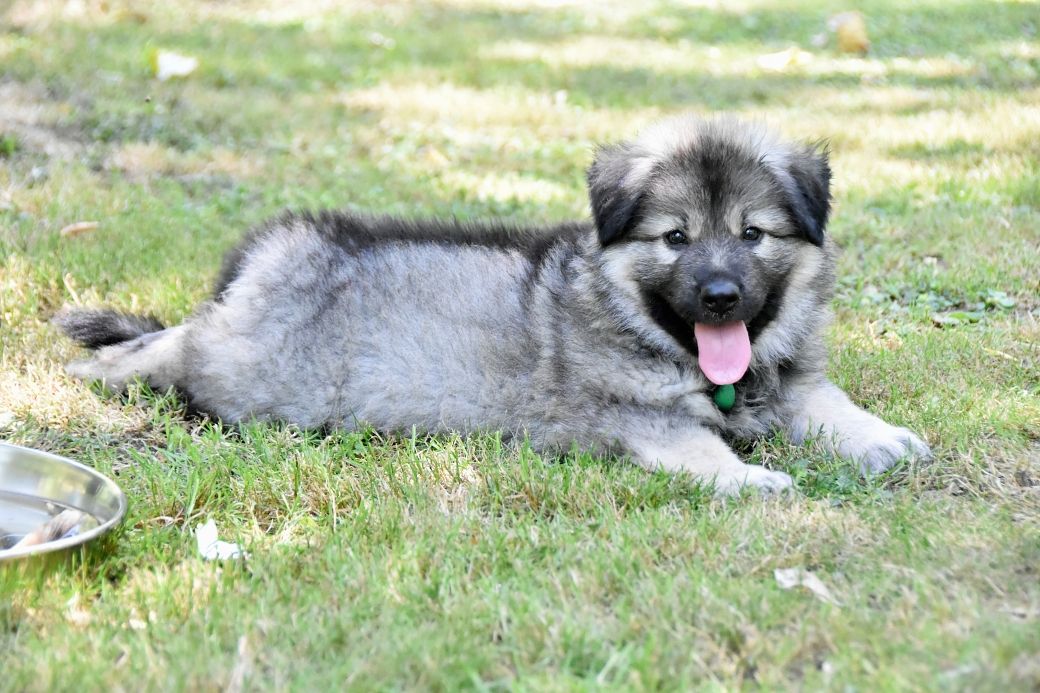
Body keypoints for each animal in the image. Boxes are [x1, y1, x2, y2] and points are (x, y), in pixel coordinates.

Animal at [56, 116, 931, 494]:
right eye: (676, 238)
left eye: (753, 234)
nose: (721, 296)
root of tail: (279, 250)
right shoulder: (625, 414)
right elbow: (698, 445)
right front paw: (751, 480)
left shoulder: (793, 380)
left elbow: (832, 402)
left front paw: (883, 437)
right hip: (257, 370)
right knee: (174, 347)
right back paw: (97, 368)